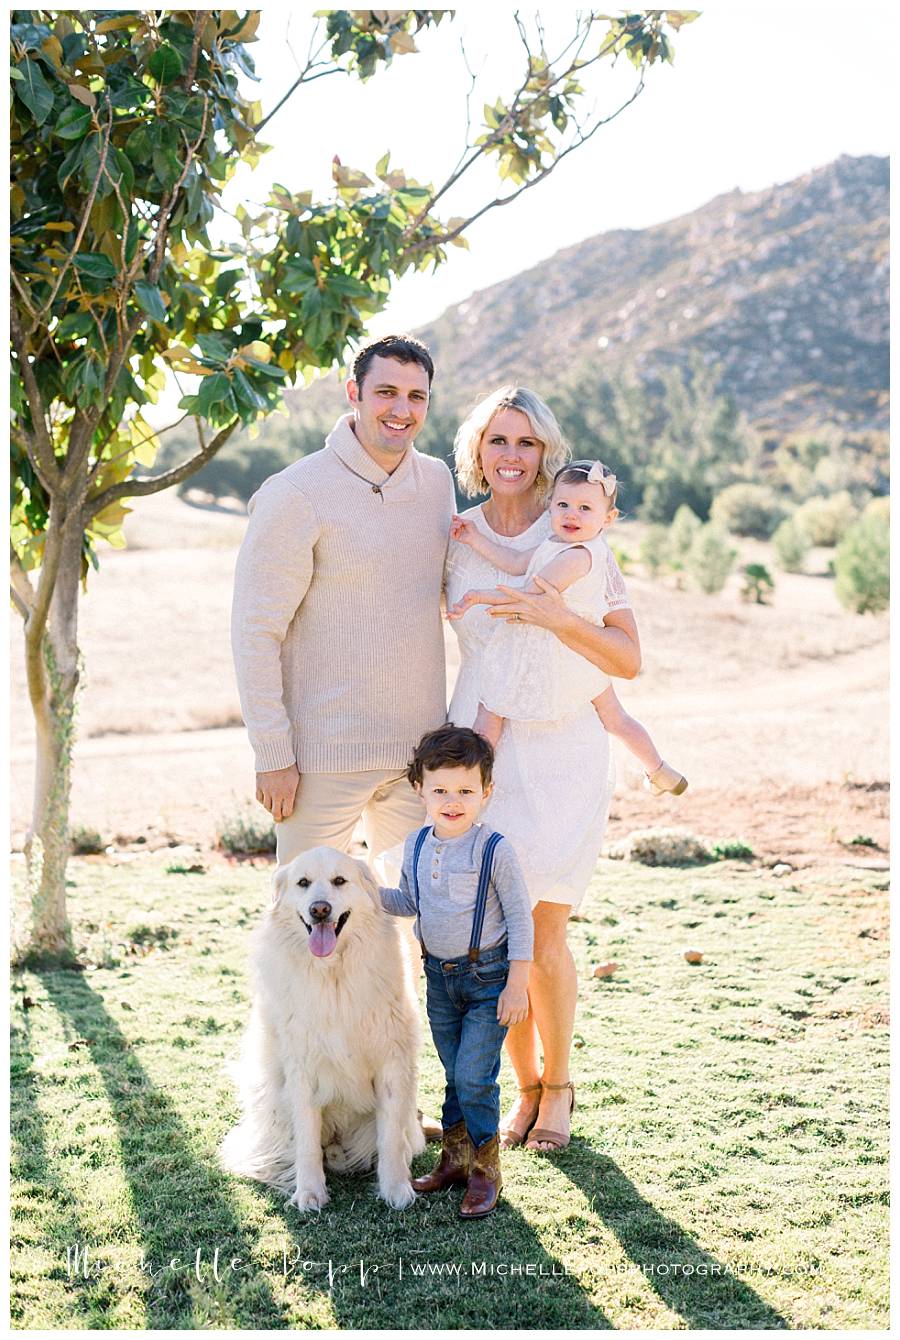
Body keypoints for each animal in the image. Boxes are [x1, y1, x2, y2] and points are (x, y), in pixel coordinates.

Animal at [220, 846, 425, 1216]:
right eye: (303, 883)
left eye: (339, 881)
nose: (320, 909)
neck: (332, 974)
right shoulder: (301, 1070)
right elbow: (306, 1139)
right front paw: (310, 1192)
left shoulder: (391, 1063)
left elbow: (389, 1137)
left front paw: (396, 1189)